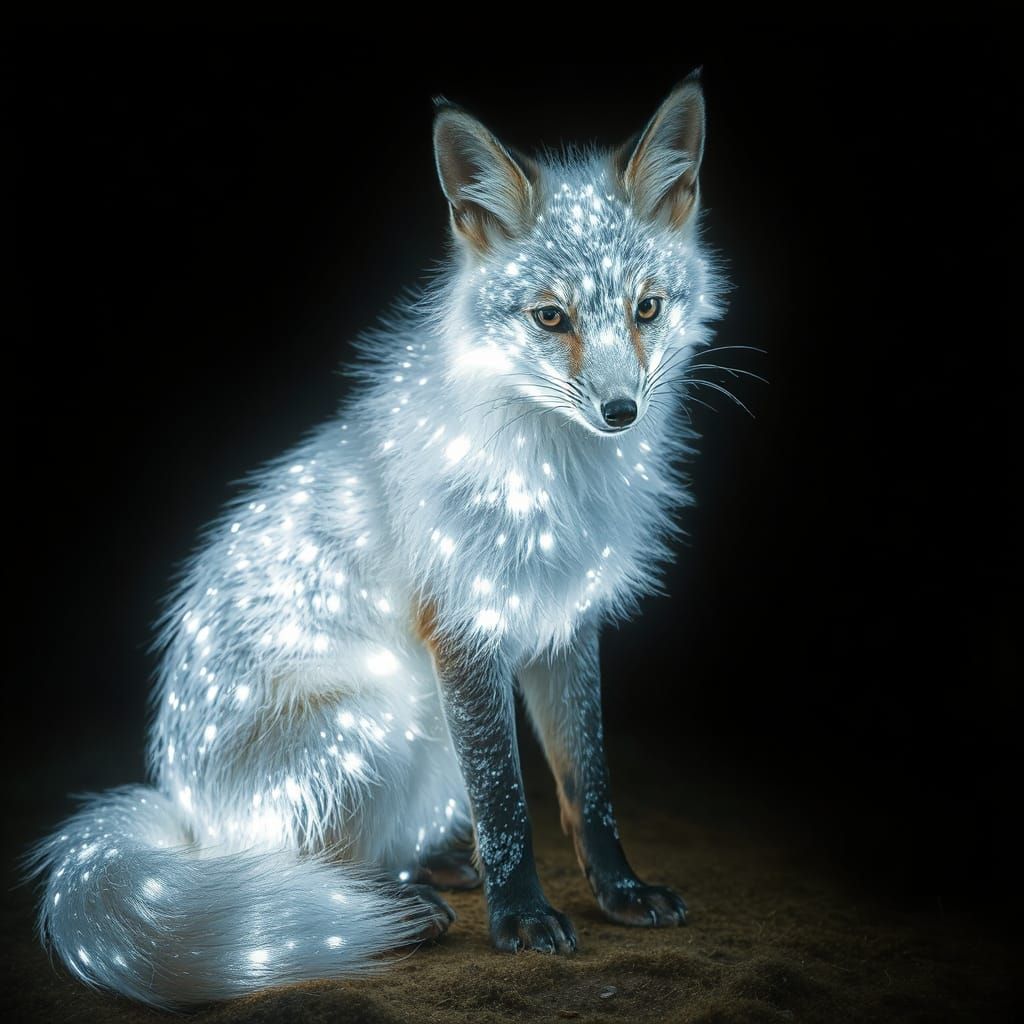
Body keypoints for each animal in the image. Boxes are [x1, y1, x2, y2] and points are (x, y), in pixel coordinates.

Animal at [29, 76, 726, 1008]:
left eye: (646, 307)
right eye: (550, 318)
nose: (622, 412)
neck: (557, 477)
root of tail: (184, 811)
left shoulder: (563, 623)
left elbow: (589, 785)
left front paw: (617, 893)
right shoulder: (463, 625)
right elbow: (506, 800)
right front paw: (520, 917)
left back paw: (431, 870)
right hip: (387, 711)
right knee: (284, 876)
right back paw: (387, 905)